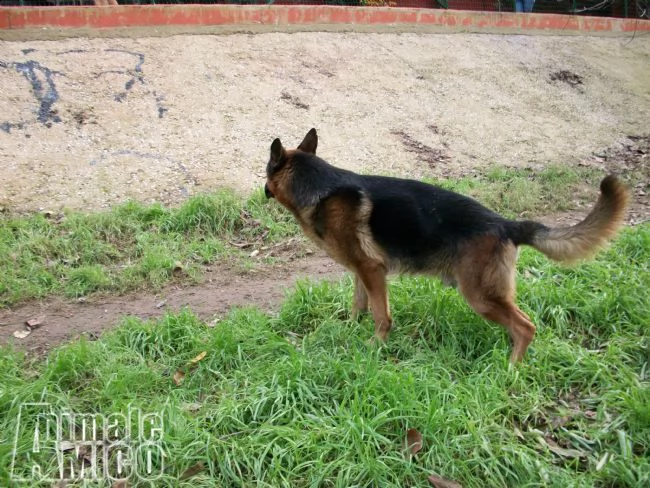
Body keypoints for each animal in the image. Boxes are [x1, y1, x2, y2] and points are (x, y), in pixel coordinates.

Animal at [264, 130, 628, 362]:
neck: (318, 186)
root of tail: (506, 224)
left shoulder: (373, 271)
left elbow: (381, 316)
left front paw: (375, 346)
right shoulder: (362, 272)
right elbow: (359, 305)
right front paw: (349, 329)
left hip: (480, 296)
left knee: (526, 326)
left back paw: (511, 369)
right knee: (518, 325)